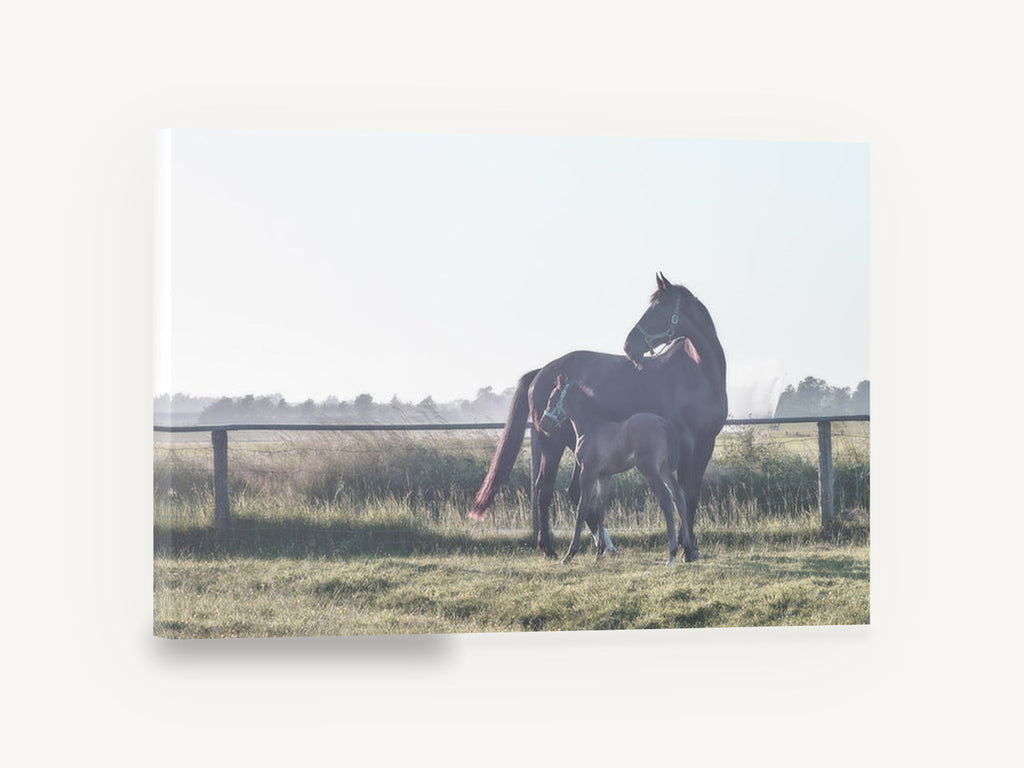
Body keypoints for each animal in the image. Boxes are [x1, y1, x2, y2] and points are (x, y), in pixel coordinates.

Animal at [539, 373, 697, 566]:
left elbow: (582, 509)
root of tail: (662, 423)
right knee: (679, 496)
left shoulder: (587, 473)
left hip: (650, 470)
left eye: (552, 398)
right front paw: (599, 553)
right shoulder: (604, 476)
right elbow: (599, 509)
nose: (543, 424)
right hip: (665, 470)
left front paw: (569, 554)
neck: (590, 428)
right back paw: (688, 548)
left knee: (666, 498)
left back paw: (672, 554)